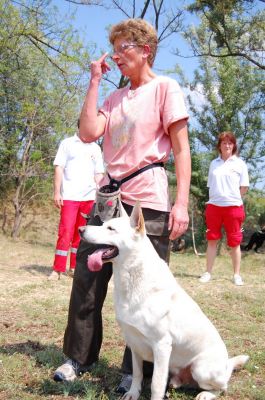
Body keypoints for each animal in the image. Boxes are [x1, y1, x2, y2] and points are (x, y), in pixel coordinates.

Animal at [78, 203, 248, 400]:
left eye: (111, 229)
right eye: (104, 224)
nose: (80, 229)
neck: (133, 277)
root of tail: (226, 364)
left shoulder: (162, 345)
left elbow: (156, 384)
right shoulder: (133, 342)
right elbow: (137, 373)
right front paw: (132, 393)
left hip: (201, 369)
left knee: (222, 387)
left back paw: (206, 394)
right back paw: (176, 382)